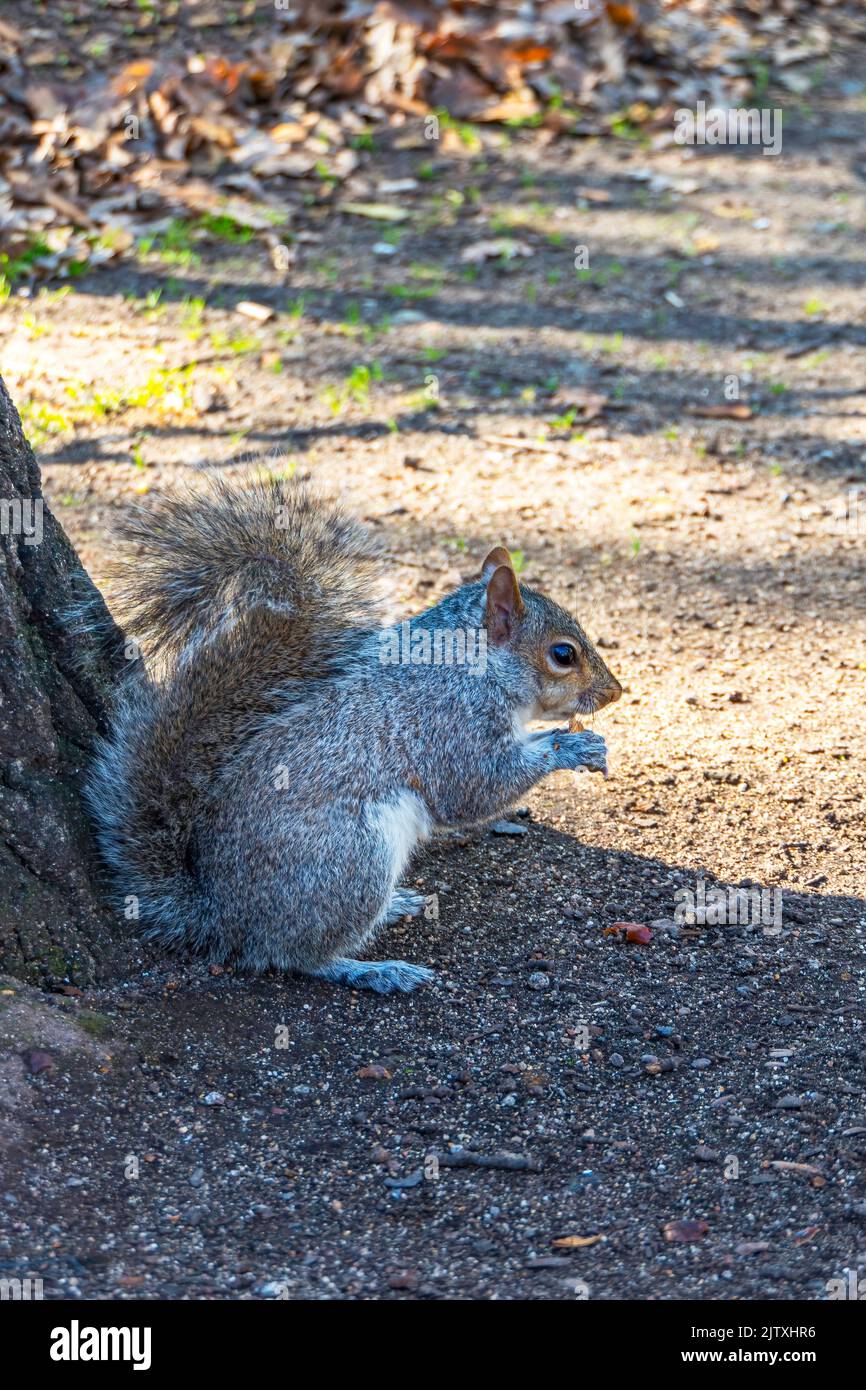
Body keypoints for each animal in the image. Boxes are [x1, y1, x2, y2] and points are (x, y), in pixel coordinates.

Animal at [88, 480, 622, 1000]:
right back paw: (374, 970)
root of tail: (223, 916)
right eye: (563, 654)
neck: (472, 668)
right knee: (292, 955)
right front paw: (569, 748)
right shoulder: (449, 725)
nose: (615, 691)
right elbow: (475, 790)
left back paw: (394, 908)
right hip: (351, 861)